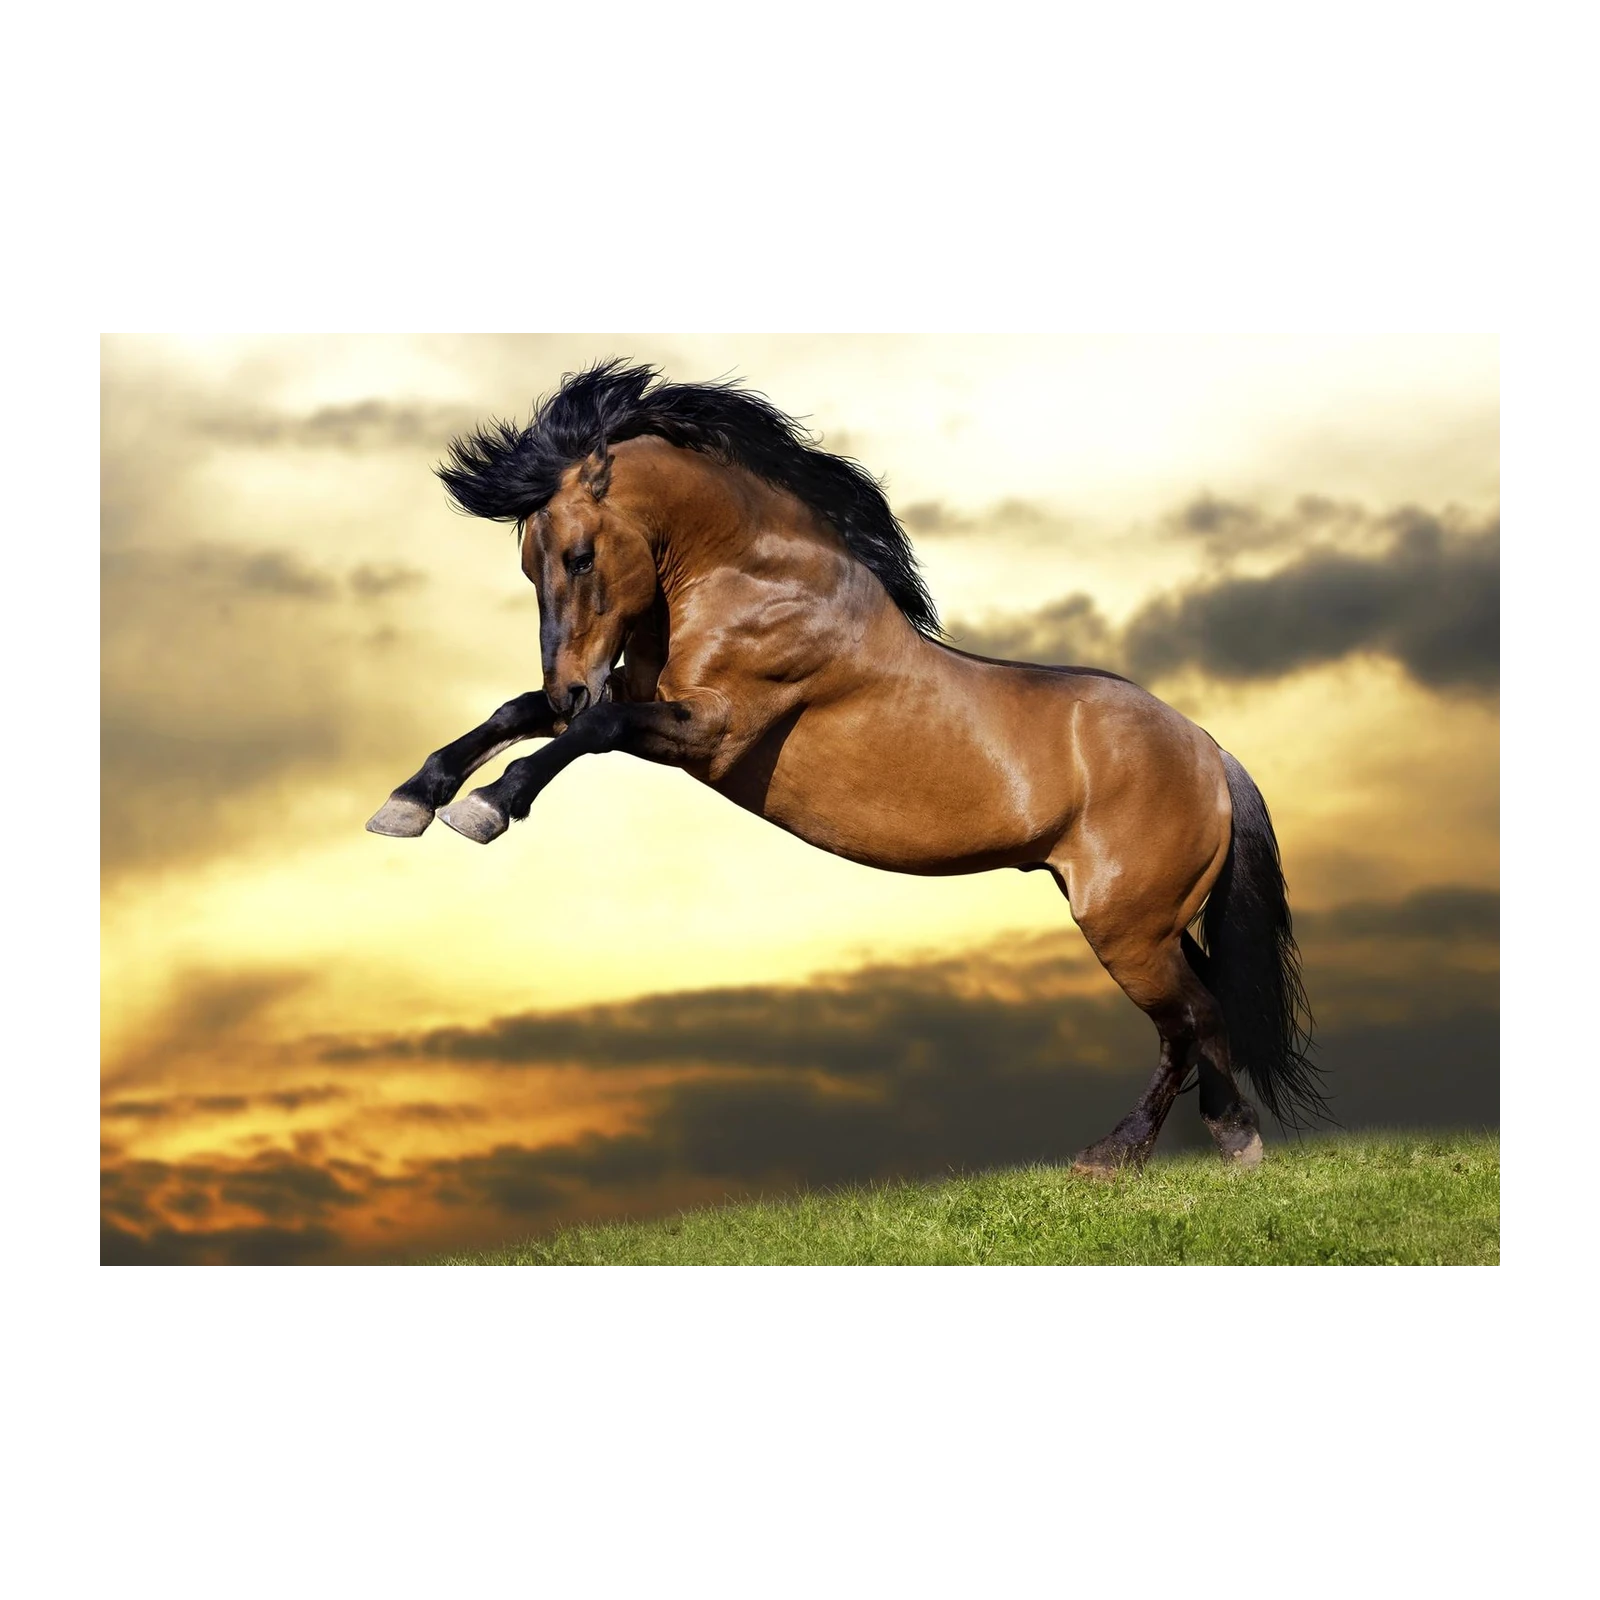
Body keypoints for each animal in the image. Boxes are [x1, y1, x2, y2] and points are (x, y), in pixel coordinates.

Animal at [367, 360, 1325, 1175]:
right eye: (528, 562)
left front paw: (487, 807)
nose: (566, 679)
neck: (750, 579)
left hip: (1124, 925)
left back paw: (1150, 1151)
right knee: (1200, 1015)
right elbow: (517, 715)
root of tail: (1210, 750)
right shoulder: (640, 699)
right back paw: (1194, 1146)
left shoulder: (708, 730)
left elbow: (587, 730)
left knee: (1189, 1019)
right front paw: (409, 802)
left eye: (577, 556)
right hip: (1148, 920)